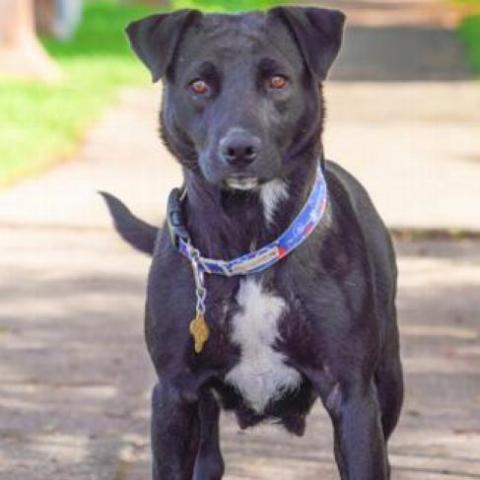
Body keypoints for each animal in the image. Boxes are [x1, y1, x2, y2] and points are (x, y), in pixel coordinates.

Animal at [102, 5, 404, 478]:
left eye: (277, 80)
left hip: (389, 378)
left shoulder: (352, 394)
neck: (248, 241)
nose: (239, 148)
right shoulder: (174, 394)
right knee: (210, 460)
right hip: (203, 410)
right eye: (199, 85)